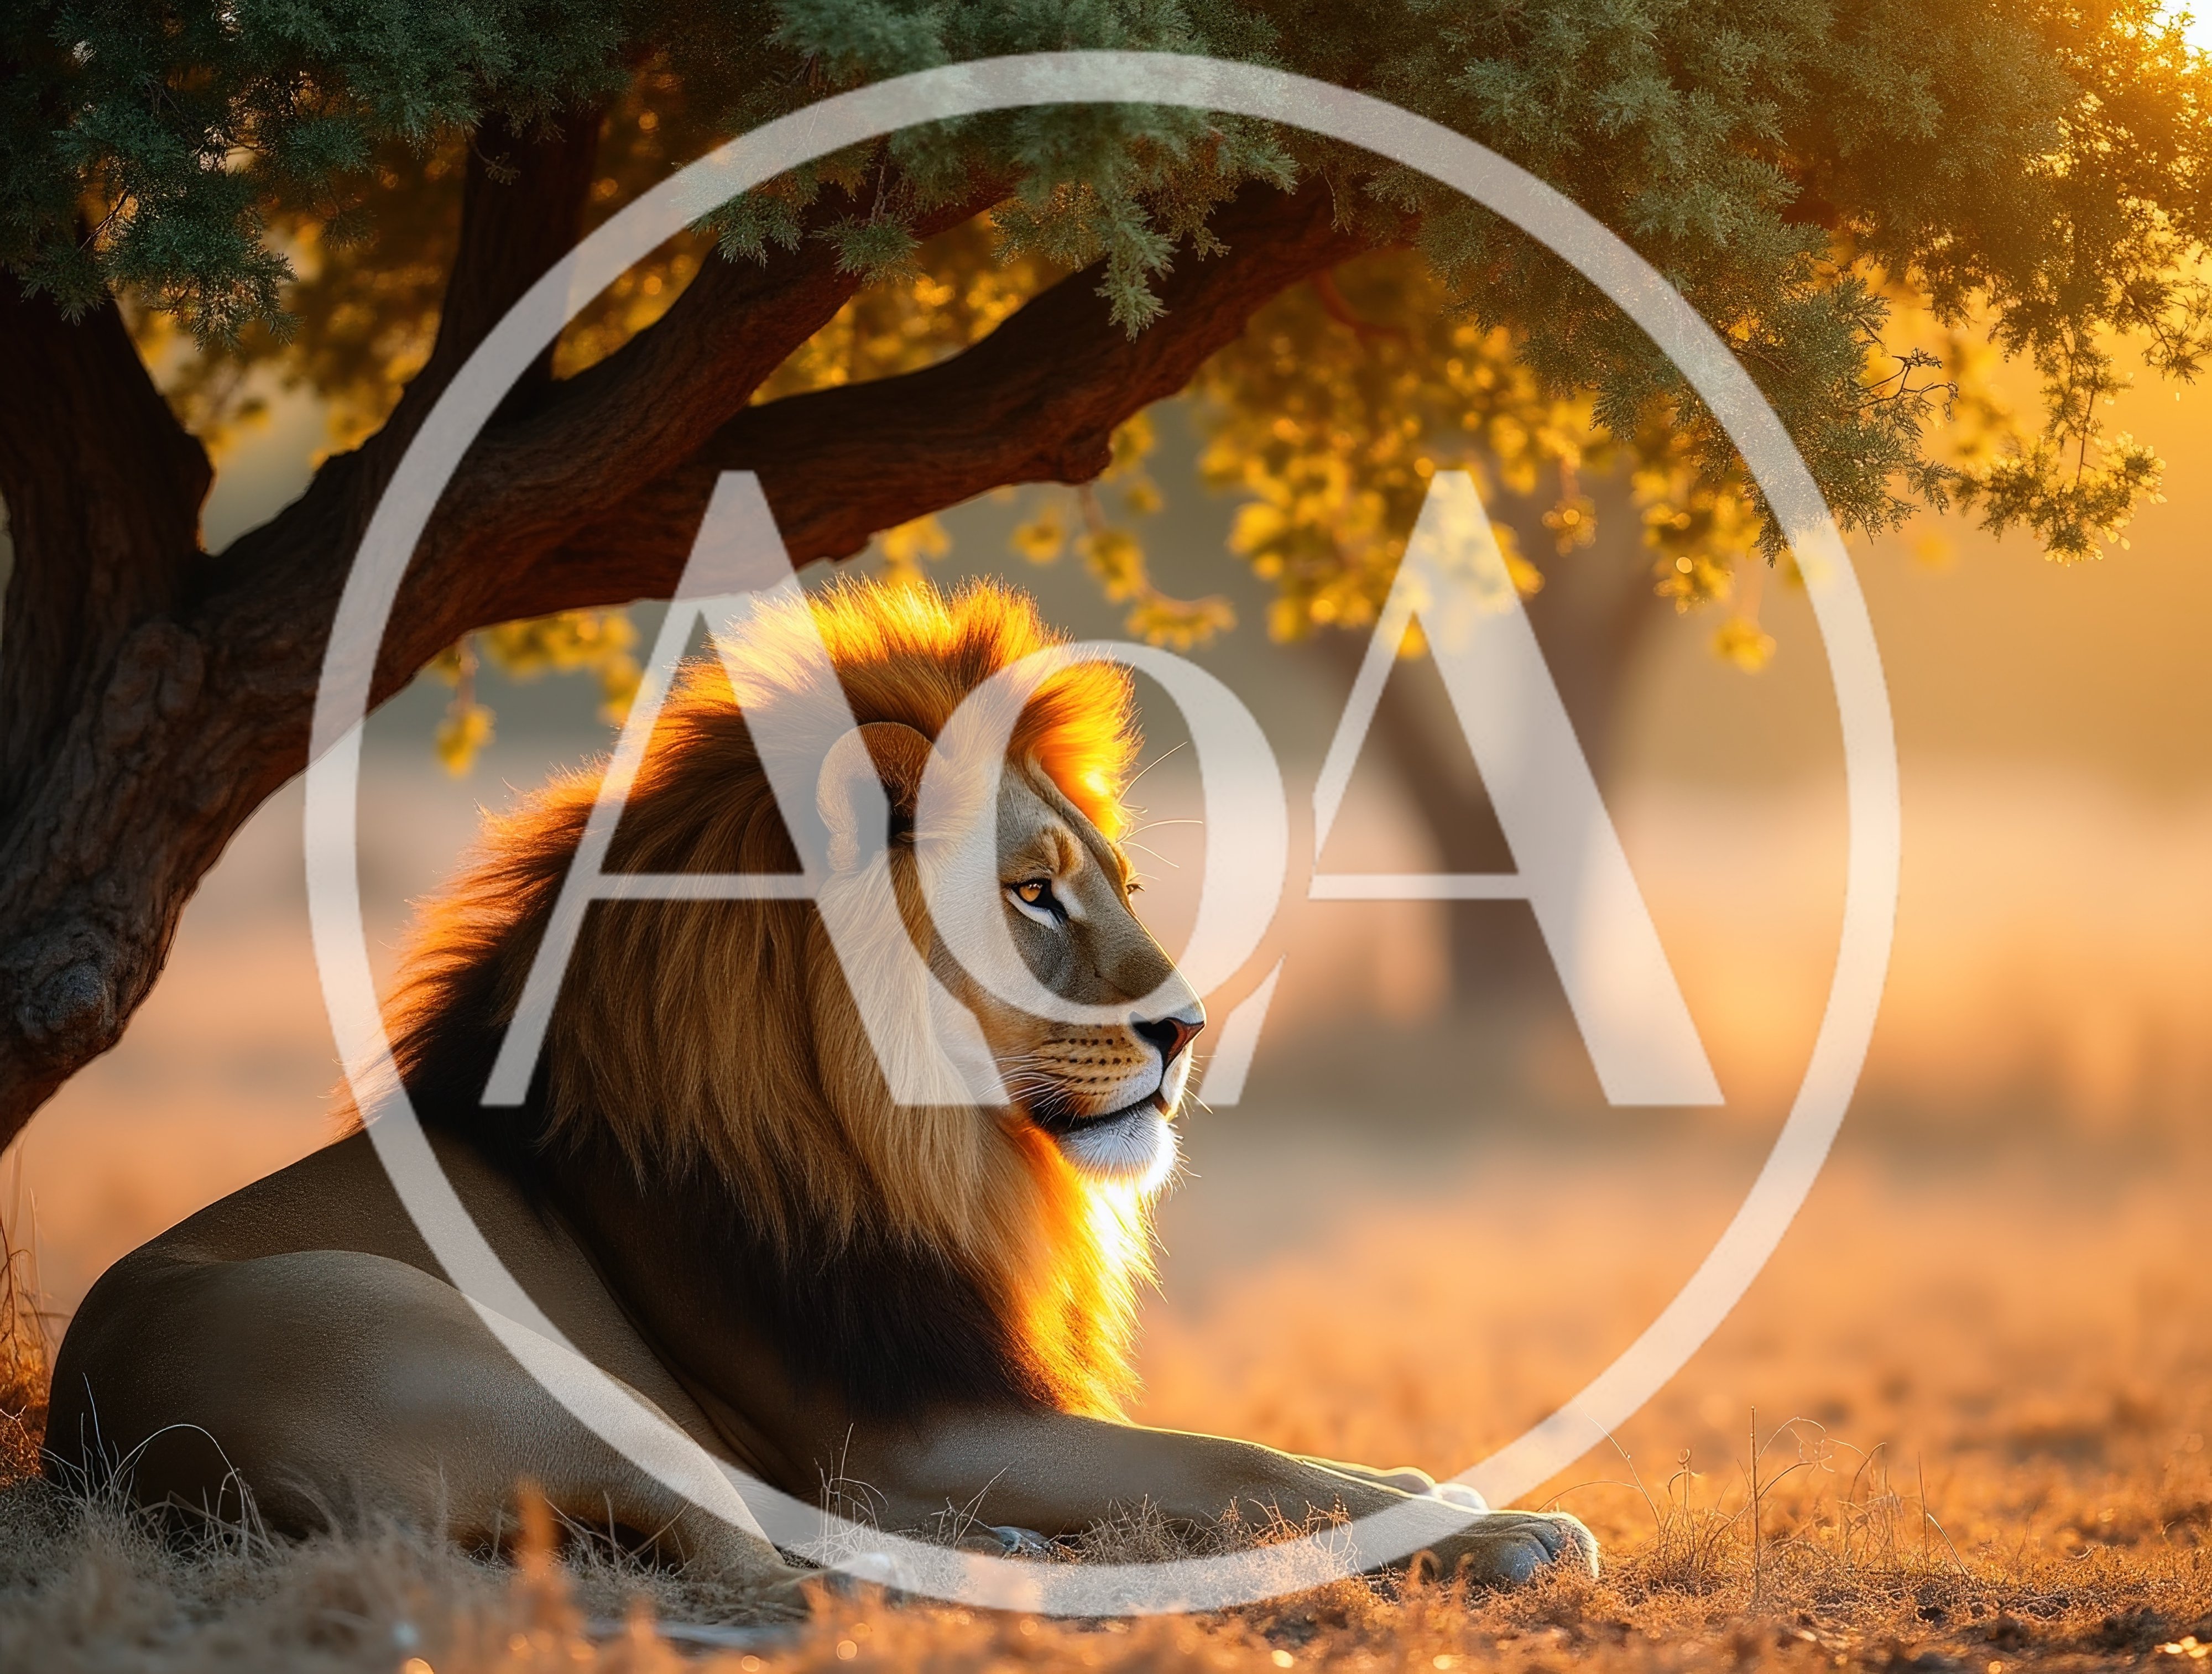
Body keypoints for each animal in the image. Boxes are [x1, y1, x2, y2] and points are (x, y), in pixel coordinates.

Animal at [48, 577, 1594, 1592]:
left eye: (1119, 883)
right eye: (1029, 892)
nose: (1187, 1027)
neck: (921, 1146)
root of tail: (112, 1449)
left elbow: (1245, 1450)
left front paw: (1438, 1488)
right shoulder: (913, 1427)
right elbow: (1231, 1459)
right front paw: (1501, 1526)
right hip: (485, 1354)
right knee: (776, 1562)